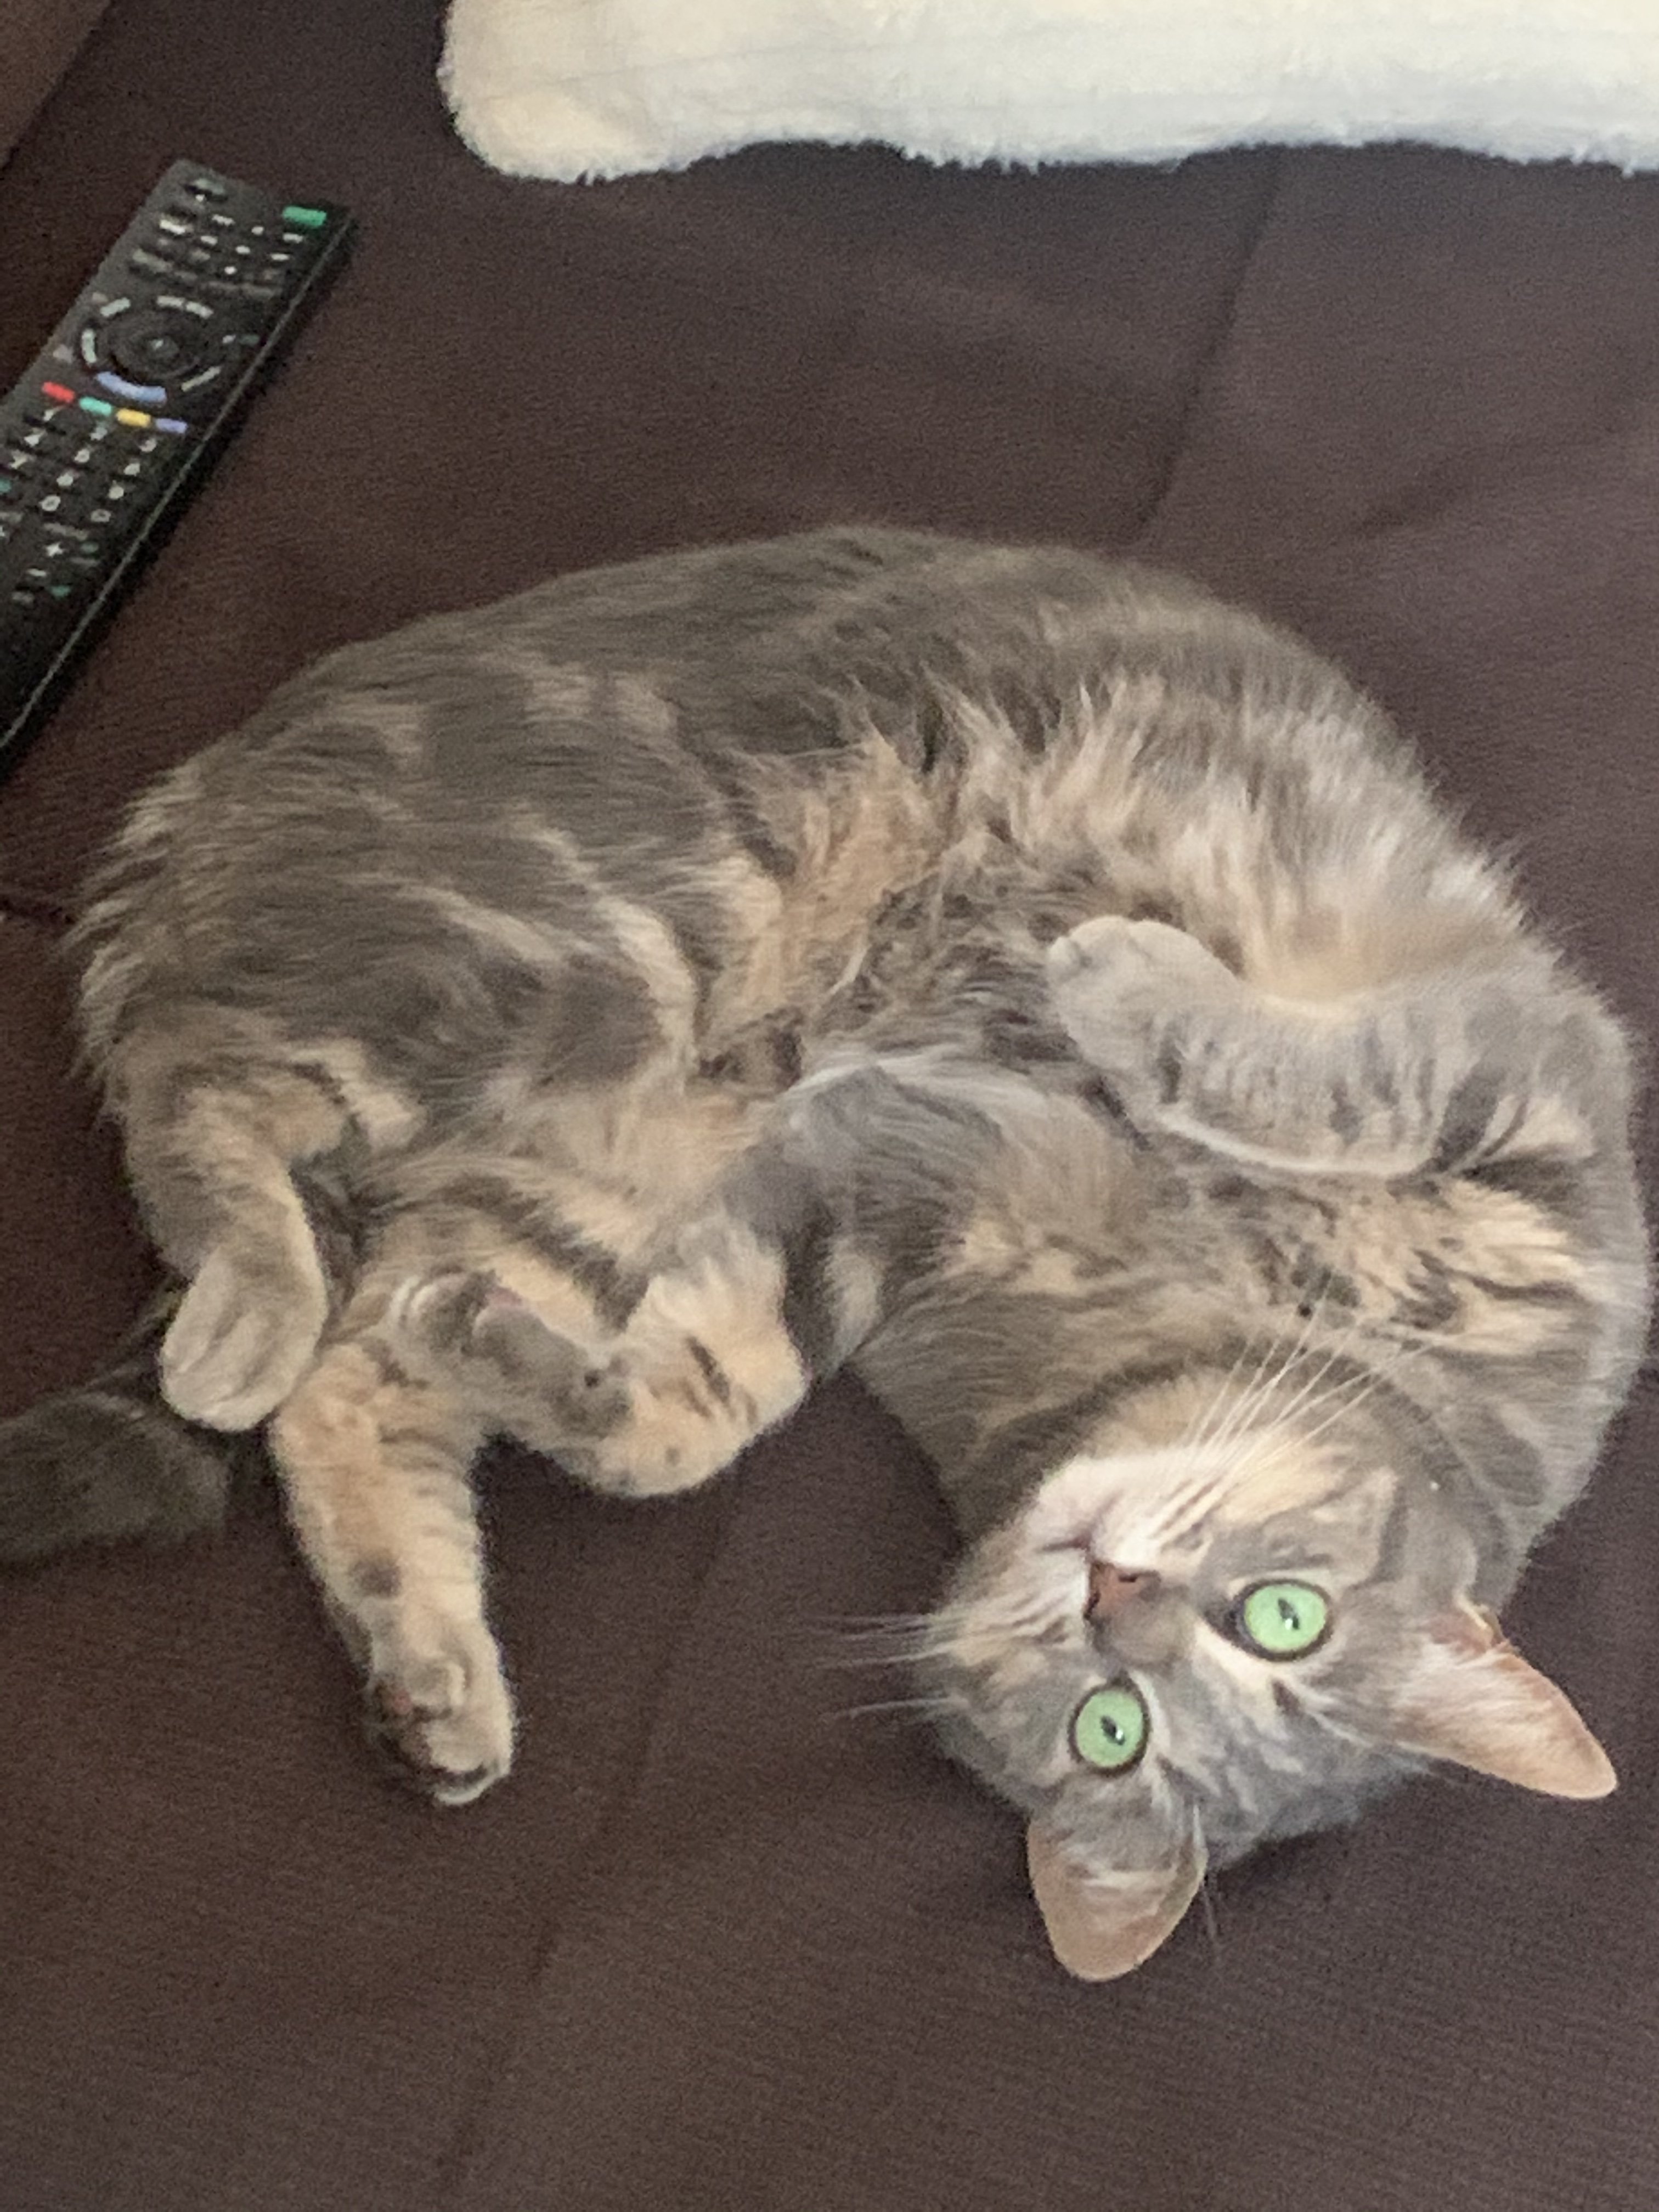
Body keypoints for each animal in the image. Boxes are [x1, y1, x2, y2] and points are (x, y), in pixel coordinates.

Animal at [0, 529, 1647, 1979]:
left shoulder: (873, 1195)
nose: (1117, 1593)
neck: (1196, 1327)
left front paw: (538, 1376)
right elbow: (1300, 1071)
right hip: (597, 941)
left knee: (347, 1373)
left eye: (1114, 1732)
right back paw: (243, 1315)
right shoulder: (1528, 1078)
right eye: (1283, 1617)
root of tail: (188, 800)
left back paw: (433, 1668)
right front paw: (1119, 973)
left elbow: (691, 1415)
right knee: (198, 1082)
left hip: (590, 1165)